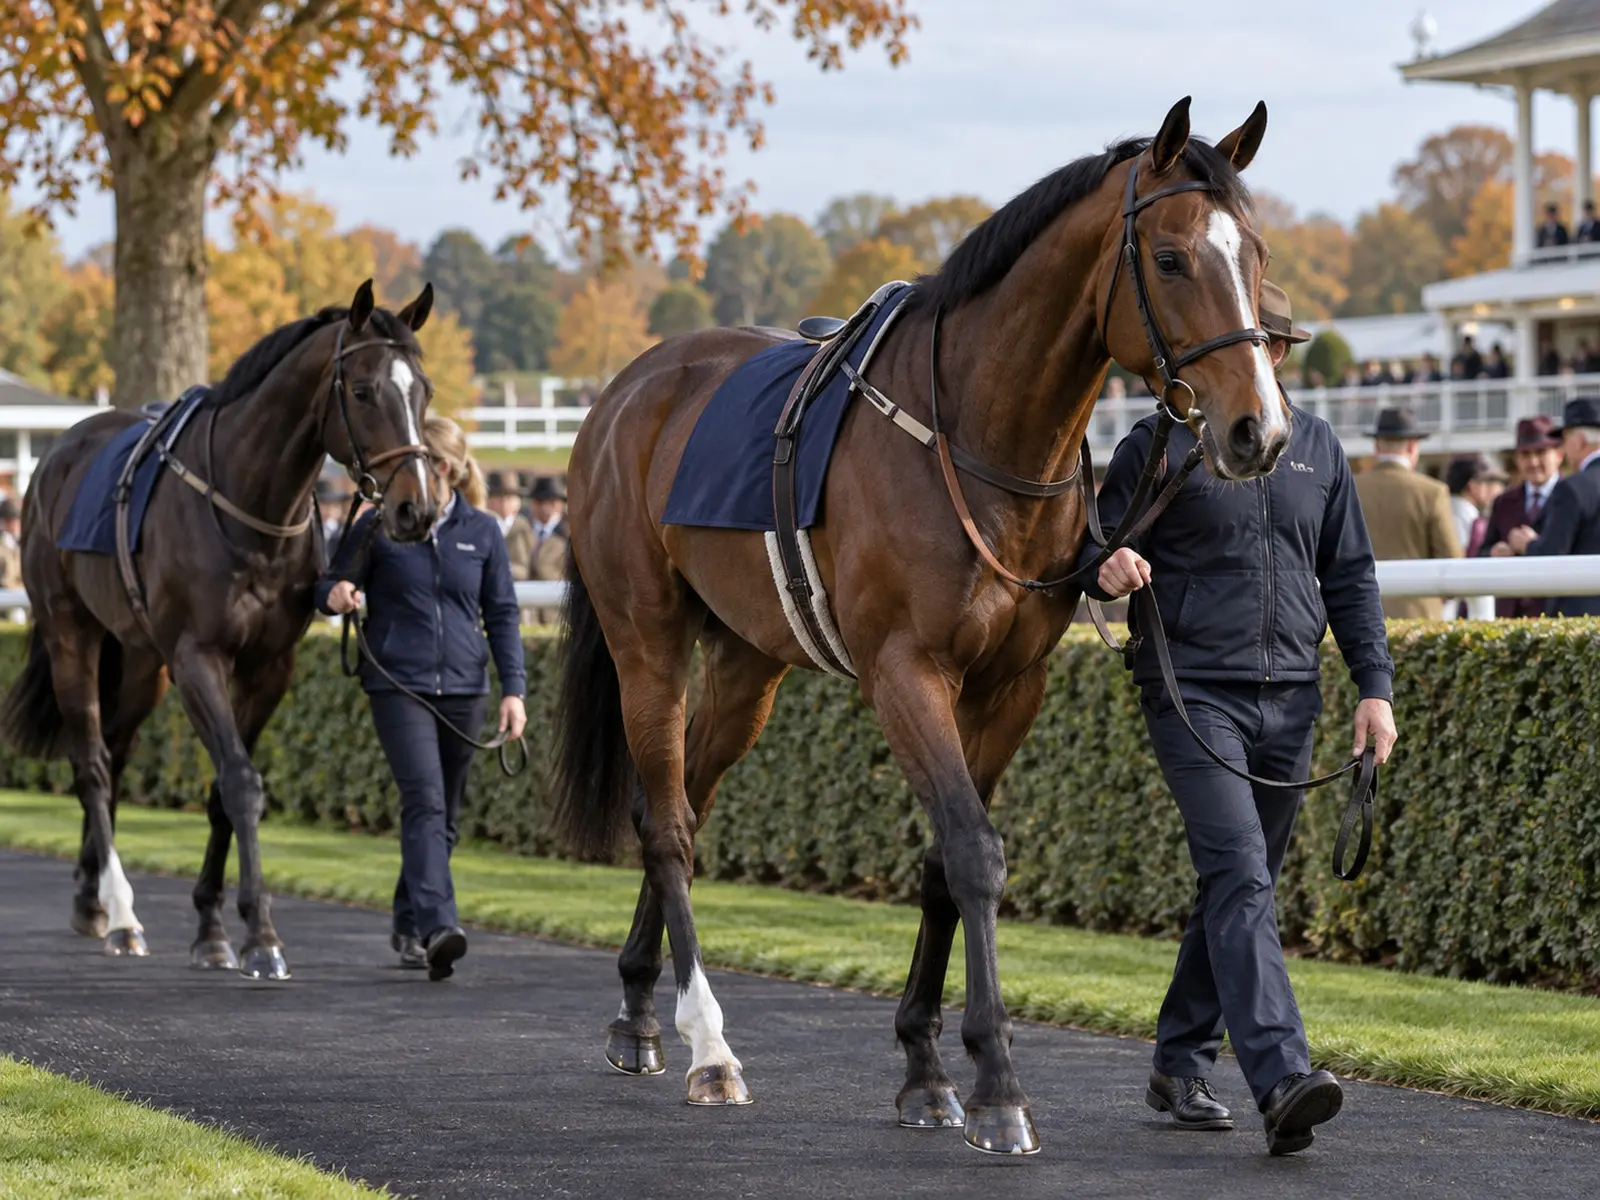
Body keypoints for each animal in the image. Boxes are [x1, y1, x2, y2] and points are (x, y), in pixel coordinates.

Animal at [0, 280, 438, 981]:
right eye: (364, 390)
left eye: (422, 389)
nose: (415, 509)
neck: (250, 508)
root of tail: (56, 457)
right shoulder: (197, 658)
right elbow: (239, 782)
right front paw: (260, 935)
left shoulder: (269, 666)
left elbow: (223, 789)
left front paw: (210, 926)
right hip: (73, 634)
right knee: (92, 762)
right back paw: (121, 914)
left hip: (139, 659)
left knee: (116, 753)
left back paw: (90, 896)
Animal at [549, 96, 1285, 1154]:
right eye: (1174, 257)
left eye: (1256, 254)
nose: (1257, 432)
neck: (978, 441)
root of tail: (623, 392)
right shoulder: (905, 674)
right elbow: (974, 851)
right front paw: (998, 1086)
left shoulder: (1010, 686)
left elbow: (945, 859)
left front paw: (929, 1068)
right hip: (645, 636)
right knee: (672, 826)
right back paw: (708, 1047)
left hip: (748, 663)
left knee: (679, 798)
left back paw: (639, 1011)